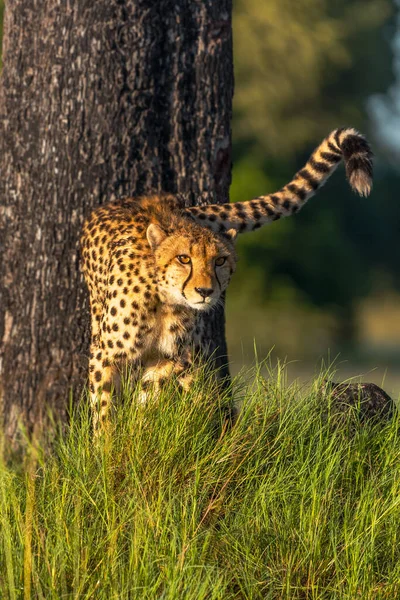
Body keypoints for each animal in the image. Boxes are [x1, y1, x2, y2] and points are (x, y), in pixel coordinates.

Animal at [81, 127, 372, 436]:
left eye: (219, 261)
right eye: (184, 259)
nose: (205, 291)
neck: (164, 301)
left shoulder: (179, 355)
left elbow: (158, 383)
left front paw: (142, 422)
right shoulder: (104, 354)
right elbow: (104, 411)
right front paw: (107, 444)